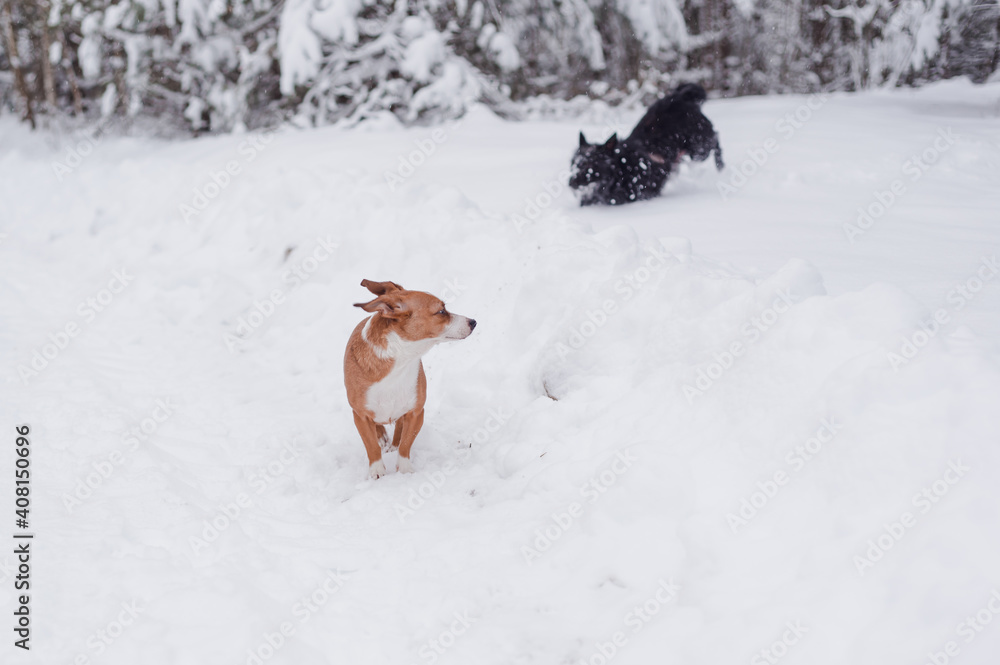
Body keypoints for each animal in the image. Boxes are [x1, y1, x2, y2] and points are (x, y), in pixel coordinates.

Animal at [344, 278, 476, 478]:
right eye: (441, 311)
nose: (473, 322)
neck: (400, 361)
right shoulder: (360, 416)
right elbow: (371, 445)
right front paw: (377, 471)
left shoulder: (416, 412)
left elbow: (405, 443)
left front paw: (405, 470)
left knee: (399, 430)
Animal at [568, 84, 724, 206]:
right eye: (574, 164)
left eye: (589, 164)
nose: (570, 182)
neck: (620, 170)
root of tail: (681, 96)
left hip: (699, 149)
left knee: (716, 139)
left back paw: (721, 167)